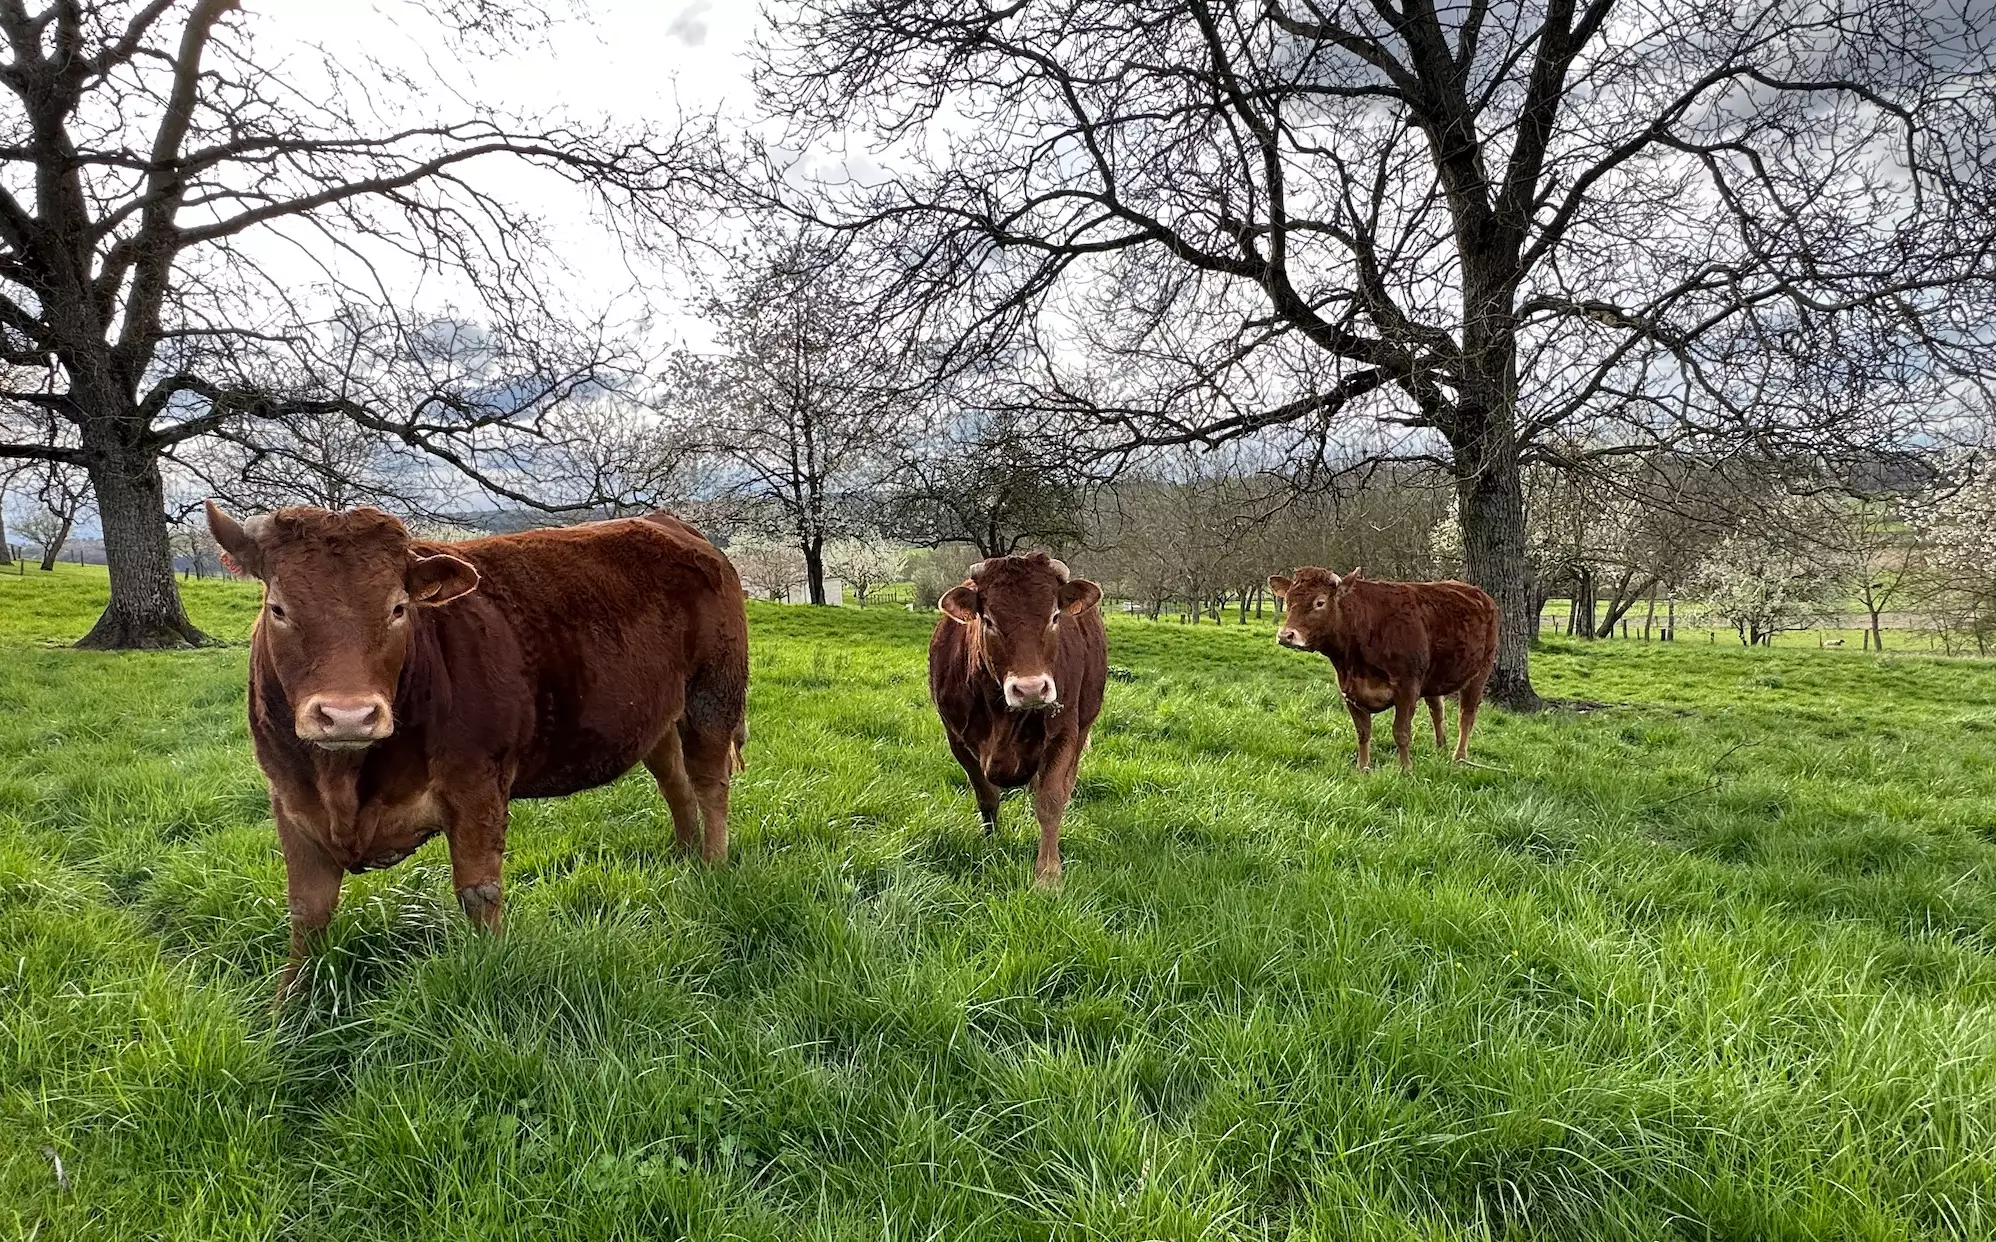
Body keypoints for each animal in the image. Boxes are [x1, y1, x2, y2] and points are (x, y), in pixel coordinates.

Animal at [204, 502, 749, 1000]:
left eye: (398, 608)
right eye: (278, 608)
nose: (348, 715)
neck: (342, 781)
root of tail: (669, 522)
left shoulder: (476, 786)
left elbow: (478, 892)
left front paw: (491, 969)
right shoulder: (289, 800)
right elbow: (307, 910)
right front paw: (288, 1008)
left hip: (713, 694)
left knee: (709, 783)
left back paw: (713, 866)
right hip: (659, 719)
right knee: (675, 783)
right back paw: (684, 857)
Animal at [929, 551, 1107, 885]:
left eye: (1054, 616)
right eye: (988, 620)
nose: (1031, 689)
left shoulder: (1064, 733)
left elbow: (1050, 801)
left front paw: (1048, 874)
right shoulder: (956, 738)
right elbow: (986, 796)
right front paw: (991, 845)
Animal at [1268, 567, 1497, 772]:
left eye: (1320, 602)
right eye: (1288, 600)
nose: (1286, 635)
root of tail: (1482, 596)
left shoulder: (1407, 687)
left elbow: (1401, 732)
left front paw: (1405, 769)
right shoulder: (1349, 690)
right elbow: (1362, 732)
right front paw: (1363, 768)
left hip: (1480, 672)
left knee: (1466, 716)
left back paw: (1459, 757)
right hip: (1433, 677)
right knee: (1437, 710)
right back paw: (1441, 746)